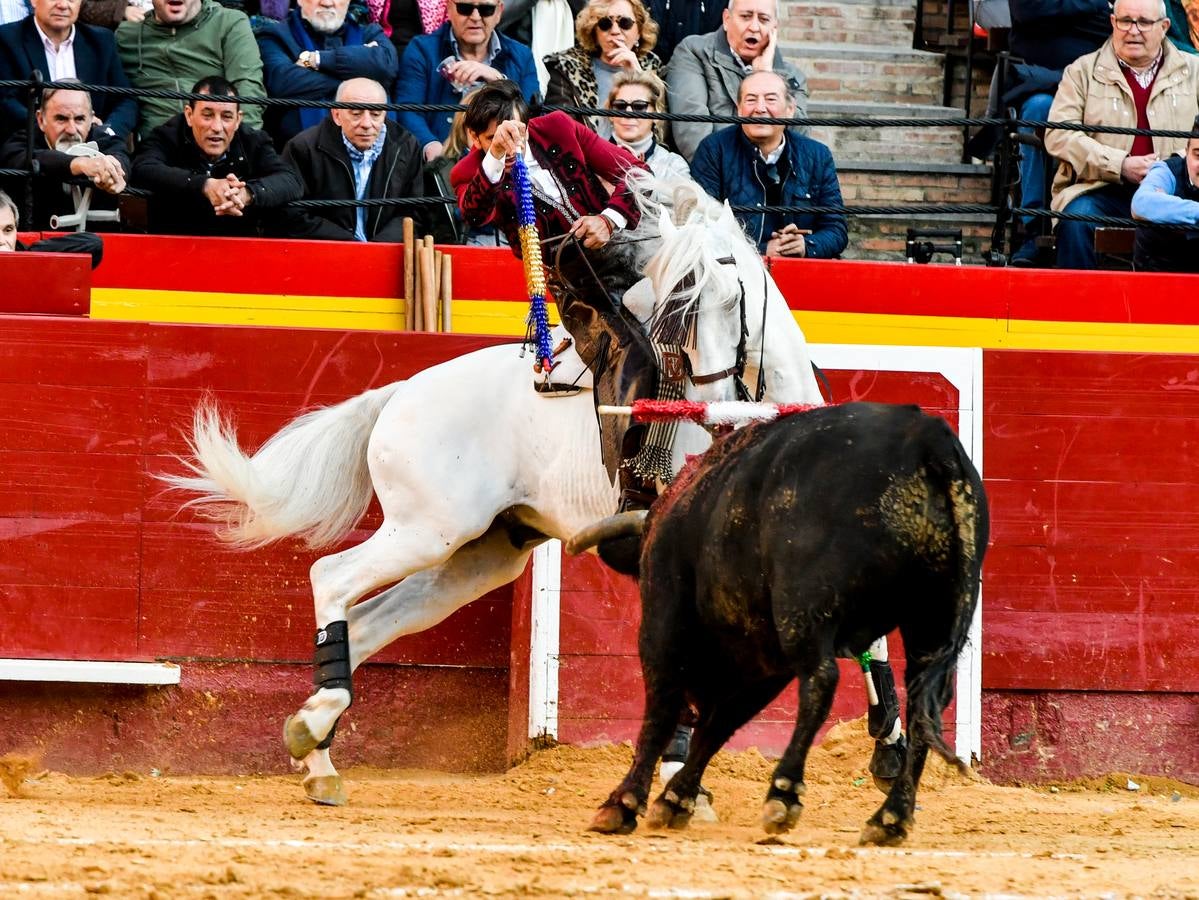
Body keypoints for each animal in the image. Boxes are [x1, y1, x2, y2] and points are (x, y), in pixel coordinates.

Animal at [164, 179, 824, 805]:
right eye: (677, 315)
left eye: (733, 301)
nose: (716, 409)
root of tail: (401, 391)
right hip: (425, 530)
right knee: (332, 577)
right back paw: (315, 733)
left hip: (480, 557)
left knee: (371, 621)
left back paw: (318, 757)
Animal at [575, 400, 987, 843]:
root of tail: (928, 440)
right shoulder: (767, 662)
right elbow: (719, 726)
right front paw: (677, 798)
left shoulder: (664, 625)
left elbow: (662, 714)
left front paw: (623, 803)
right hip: (931, 620)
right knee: (924, 706)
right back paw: (889, 818)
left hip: (804, 609)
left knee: (822, 680)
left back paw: (784, 793)